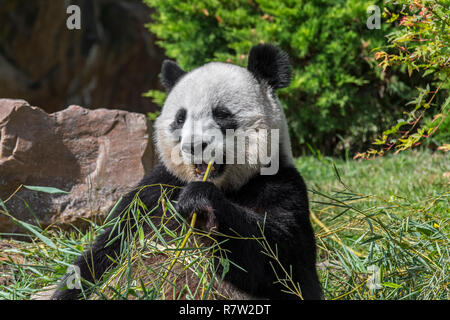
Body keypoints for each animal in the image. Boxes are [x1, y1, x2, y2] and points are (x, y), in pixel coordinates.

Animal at [50, 44, 320, 300]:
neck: (226, 185)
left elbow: (281, 259)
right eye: (180, 118)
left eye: (221, 114)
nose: (194, 145)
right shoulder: (155, 190)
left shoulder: (279, 184)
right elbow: (107, 249)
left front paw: (200, 201)